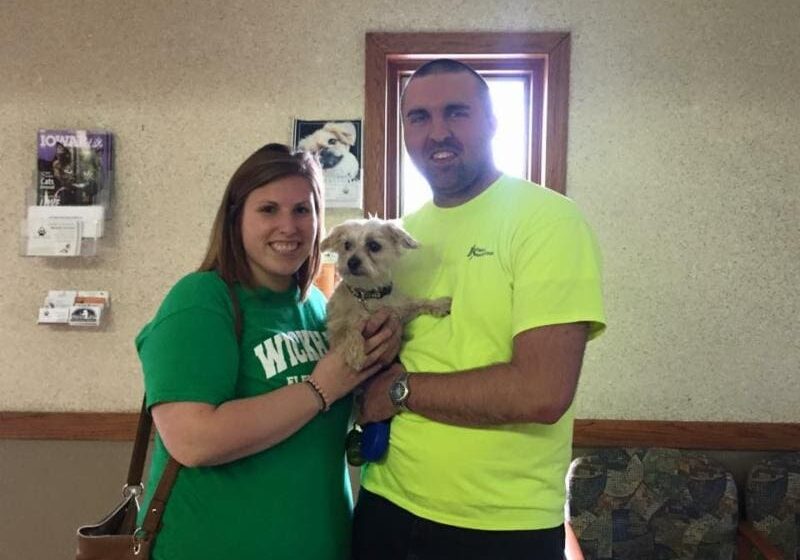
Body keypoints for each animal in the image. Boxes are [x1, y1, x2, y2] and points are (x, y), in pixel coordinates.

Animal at [322, 219, 454, 372]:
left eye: (374, 245)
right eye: (347, 245)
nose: (352, 262)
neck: (367, 294)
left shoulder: (399, 311)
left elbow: (418, 302)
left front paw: (439, 304)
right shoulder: (335, 326)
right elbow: (348, 330)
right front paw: (356, 353)